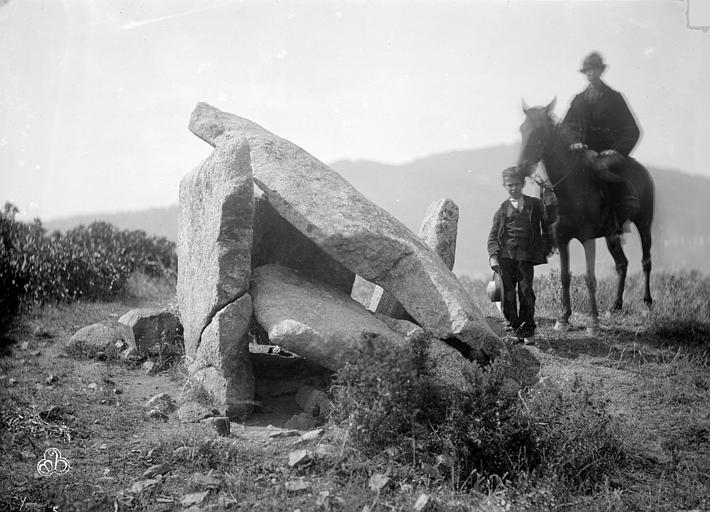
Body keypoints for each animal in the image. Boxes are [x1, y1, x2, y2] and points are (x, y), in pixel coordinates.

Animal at [516, 99, 656, 336]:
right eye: (522, 129)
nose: (521, 167)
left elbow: (590, 278)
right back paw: (615, 306)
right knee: (622, 265)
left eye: (541, 131)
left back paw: (647, 303)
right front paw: (563, 318)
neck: (571, 187)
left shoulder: (587, 238)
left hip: (644, 223)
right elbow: (565, 277)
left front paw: (593, 323)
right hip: (612, 236)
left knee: (646, 261)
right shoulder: (562, 239)